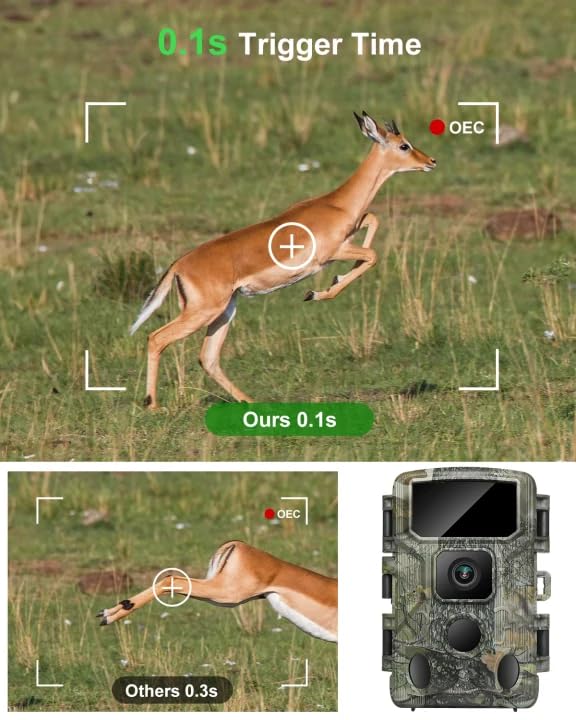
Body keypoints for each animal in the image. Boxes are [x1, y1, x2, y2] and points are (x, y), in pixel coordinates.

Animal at [130, 111, 436, 406]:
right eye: (404, 144)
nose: (431, 161)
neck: (336, 204)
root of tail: (179, 265)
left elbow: (372, 220)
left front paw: (328, 283)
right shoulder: (330, 254)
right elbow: (372, 254)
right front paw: (316, 293)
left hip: (225, 311)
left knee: (208, 358)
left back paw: (250, 401)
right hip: (202, 312)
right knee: (156, 338)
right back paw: (153, 405)